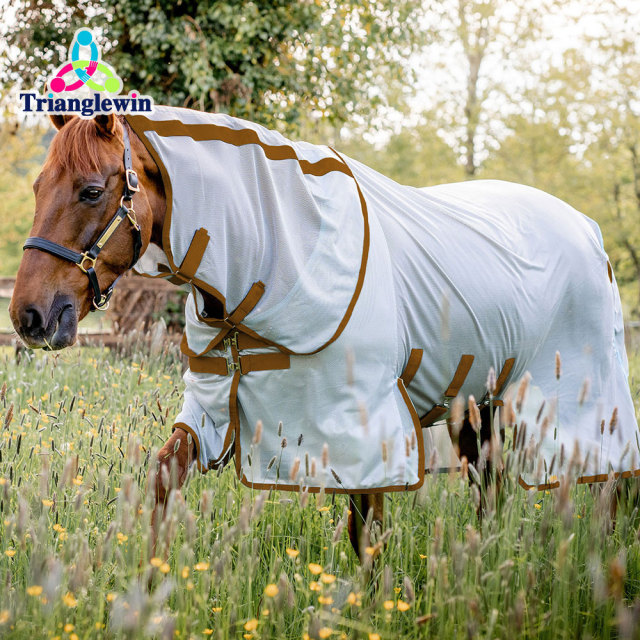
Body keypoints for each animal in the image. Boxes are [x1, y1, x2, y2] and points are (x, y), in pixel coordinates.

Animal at [9, 110, 640, 559]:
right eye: (38, 187)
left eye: (92, 190)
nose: (29, 317)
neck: (282, 247)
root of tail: (588, 230)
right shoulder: (212, 406)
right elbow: (165, 476)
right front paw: (150, 584)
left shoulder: (368, 427)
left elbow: (366, 535)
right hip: (477, 405)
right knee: (493, 492)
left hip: (579, 403)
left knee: (608, 486)